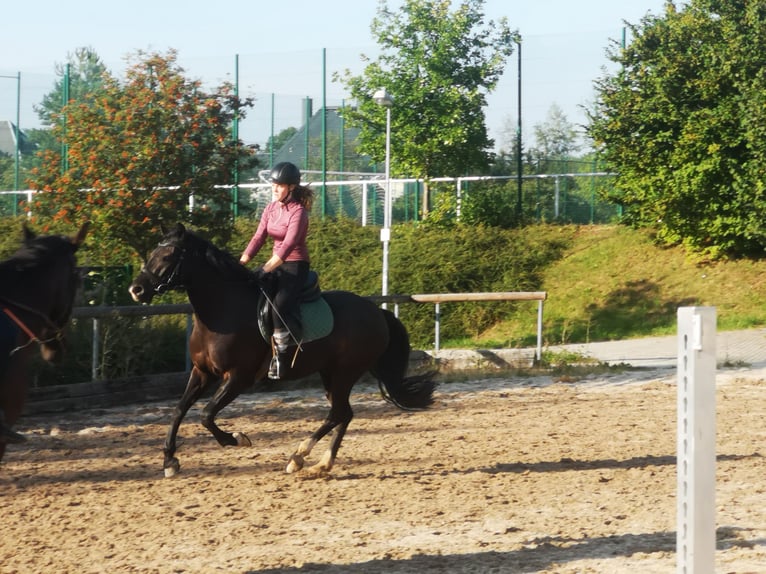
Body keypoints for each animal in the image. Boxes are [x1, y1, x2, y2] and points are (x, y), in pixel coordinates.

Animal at [129, 223, 436, 480]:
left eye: (168, 256)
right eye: (153, 252)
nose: (136, 290)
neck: (222, 312)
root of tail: (377, 312)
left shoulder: (238, 377)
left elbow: (206, 414)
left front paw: (236, 438)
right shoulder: (202, 372)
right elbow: (179, 410)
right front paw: (170, 461)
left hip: (345, 372)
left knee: (338, 413)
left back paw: (299, 456)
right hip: (330, 373)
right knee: (344, 414)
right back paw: (321, 464)